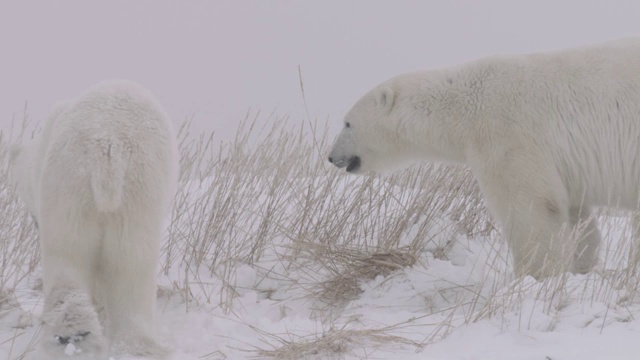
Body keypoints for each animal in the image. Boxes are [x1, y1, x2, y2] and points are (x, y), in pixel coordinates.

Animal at [9, 80, 180, 358]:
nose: (34, 220)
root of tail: (108, 144)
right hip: (135, 193)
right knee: (132, 266)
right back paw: (135, 347)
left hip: (71, 190)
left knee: (69, 258)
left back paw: (74, 337)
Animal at [330, 38, 640, 278]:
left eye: (347, 123)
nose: (332, 157)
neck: (463, 107)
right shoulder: (561, 163)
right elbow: (574, 212)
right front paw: (580, 265)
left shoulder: (507, 136)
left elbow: (530, 207)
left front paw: (533, 276)